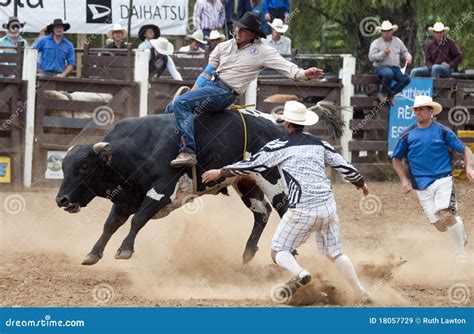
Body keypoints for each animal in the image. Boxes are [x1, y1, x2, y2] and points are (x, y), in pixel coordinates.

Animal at [55, 110, 288, 266]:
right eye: (64, 167)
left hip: (272, 178)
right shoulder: (125, 197)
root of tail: (278, 124)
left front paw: (125, 249)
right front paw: (93, 253)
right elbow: (110, 224)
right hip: (247, 181)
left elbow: (137, 219)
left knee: (284, 210)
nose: (61, 200)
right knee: (262, 213)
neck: (139, 149)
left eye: (84, 166)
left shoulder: (161, 192)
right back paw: (248, 253)